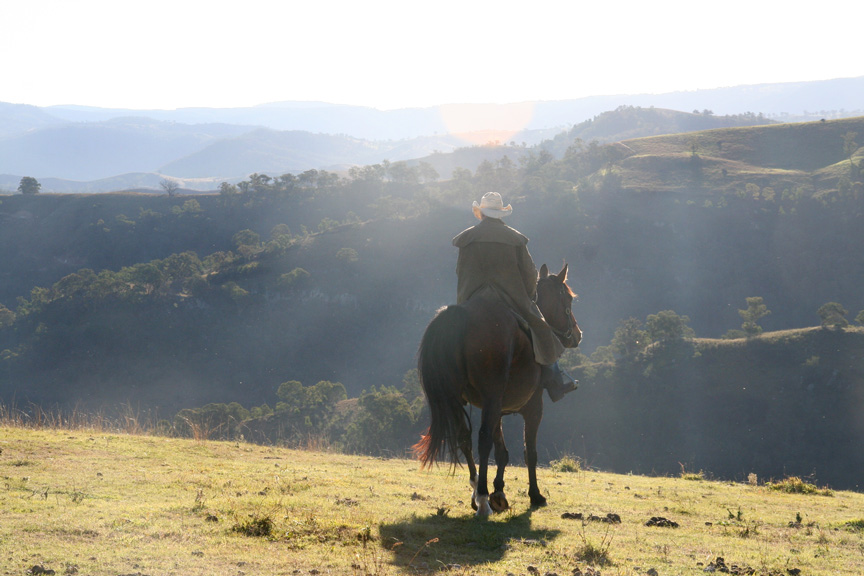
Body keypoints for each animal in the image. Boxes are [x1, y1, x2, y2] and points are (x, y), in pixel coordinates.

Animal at [412, 262, 580, 516]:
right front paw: (535, 495)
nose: (577, 334)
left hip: (457, 398)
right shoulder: (532, 406)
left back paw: (476, 489)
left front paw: (499, 491)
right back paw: (482, 499)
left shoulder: (497, 408)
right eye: (568, 300)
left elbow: (502, 451)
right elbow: (529, 452)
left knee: (464, 438)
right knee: (482, 440)